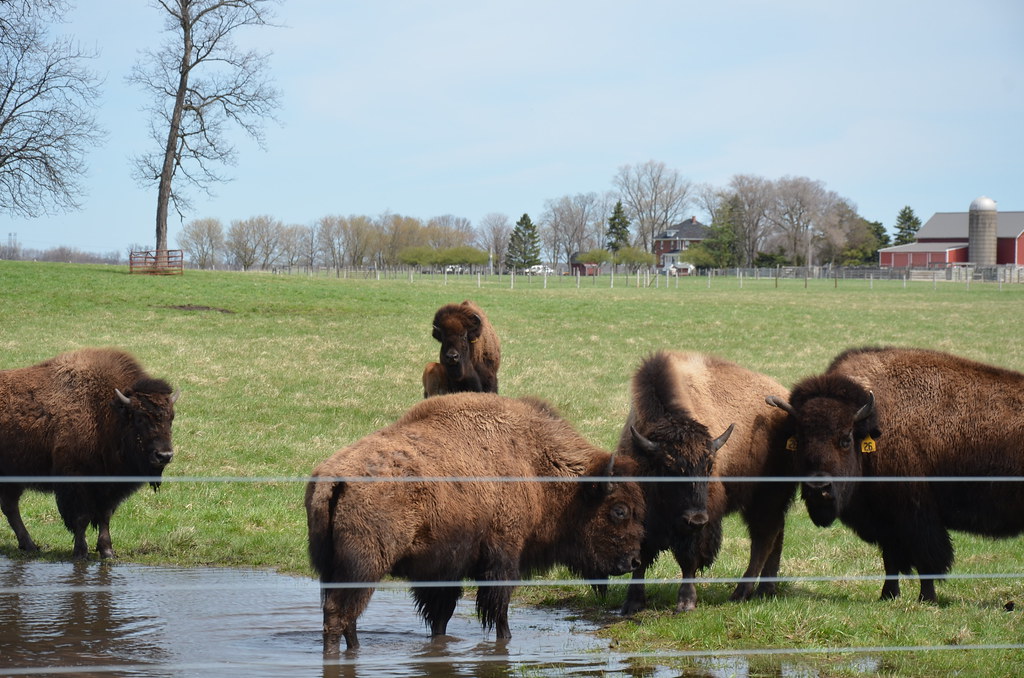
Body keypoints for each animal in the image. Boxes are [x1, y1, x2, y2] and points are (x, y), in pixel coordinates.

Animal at [0, 348, 179, 559]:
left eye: (171, 418)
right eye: (140, 417)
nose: (164, 455)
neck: (106, 411)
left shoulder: (107, 487)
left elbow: (105, 516)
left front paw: (107, 551)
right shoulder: (76, 481)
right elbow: (81, 518)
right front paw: (81, 552)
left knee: (10, 508)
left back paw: (29, 545)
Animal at [305, 392, 645, 653]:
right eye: (619, 510)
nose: (633, 561)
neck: (534, 463)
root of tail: (332, 477)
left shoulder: (442, 571)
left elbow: (440, 617)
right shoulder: (503, 557)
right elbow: (499, 609)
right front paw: (506, 640)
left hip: (335, 568)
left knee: (345, 616)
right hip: (364, 567)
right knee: (339, 613)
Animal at [618, 351, 795, 614]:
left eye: (709, 467)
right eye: (668, 468)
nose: (696, 519)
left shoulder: (705, 516)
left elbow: (689, 558)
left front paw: (686, 602)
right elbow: (641, 554)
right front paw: (632, 602)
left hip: (765, 498)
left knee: (764, 538)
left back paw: (741, 592)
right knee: (776, 534)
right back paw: (765, 590)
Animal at [766, 346, 1024, 602]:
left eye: (846, 438)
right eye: (799, 440)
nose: (818, 489)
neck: (876, 425)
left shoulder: (916, 516)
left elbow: (926, 560)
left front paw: (927, 598)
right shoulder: (886, 520)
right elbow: (890, 560)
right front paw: (888, 595)